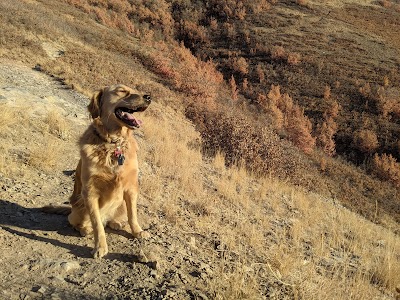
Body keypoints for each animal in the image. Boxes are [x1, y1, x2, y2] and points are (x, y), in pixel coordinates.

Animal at [44, 84, 150, 258]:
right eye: (122, 91)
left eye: (135, 90)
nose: (148, 97)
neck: (113, 144)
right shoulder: (90, 192)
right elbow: (97, 224)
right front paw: (100, 247)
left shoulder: (131, 187)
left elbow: (132, 215)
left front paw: (138, 231)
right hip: (78, 207)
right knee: (79, 222)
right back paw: (85, 229)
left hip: (120, 203)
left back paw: (115, 223)